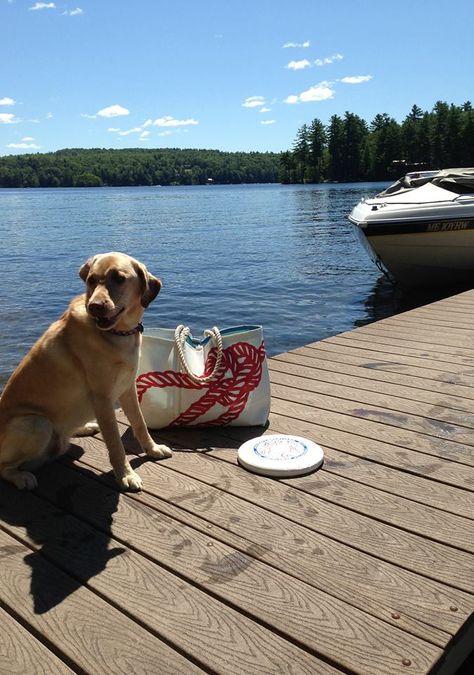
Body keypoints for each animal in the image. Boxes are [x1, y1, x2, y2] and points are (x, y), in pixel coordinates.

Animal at [0, 252, 171, 492]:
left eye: (119, 279)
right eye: (91, 280)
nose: (95, 306)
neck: (119, 333)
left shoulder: (128, 388)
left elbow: (140, 423)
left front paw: (153, 449)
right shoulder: (103, 398)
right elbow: (115, 443)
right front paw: (126, 475)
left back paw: (83, 428)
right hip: (36, 424)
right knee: (3, 467)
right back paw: (21, 477)